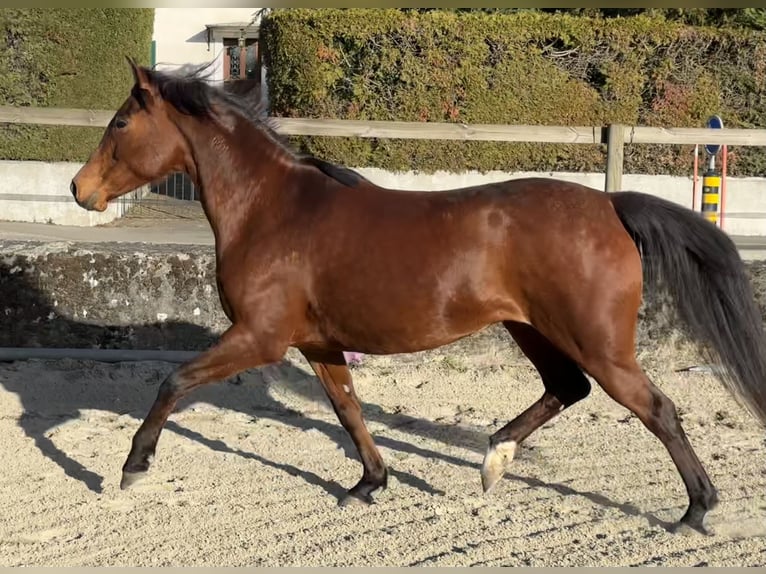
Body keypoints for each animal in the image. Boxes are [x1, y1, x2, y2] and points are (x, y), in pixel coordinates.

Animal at [70, 58, 766, 535]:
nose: (81, 190)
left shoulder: (260, 337)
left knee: (658, 409)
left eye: (121, 121)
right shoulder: (318, 344)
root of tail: (610, 205)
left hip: (597, 343)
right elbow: (349, 412)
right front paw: (369, 484)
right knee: (567, 389)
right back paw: (493, 460)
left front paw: (132, 468)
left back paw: (695, 510)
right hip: (532, 329)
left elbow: (174, 381)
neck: (272, 211)